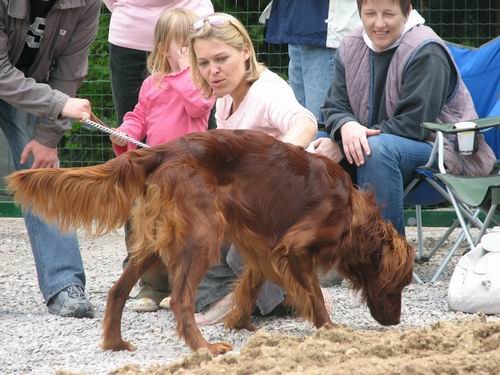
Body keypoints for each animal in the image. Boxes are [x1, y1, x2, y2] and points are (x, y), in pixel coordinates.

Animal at [6, 129, 414, 356]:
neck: (353, 213)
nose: (395, 322)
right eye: (399, 285)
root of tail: (163, 150)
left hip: (156, 241)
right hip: (202, 236)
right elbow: (313, 292)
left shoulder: (261, 248)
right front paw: (329, 328)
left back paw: (114, 343)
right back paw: (203, 348)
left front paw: (240, 323)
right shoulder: (294, 248)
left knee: (118, 290)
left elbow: (249, 287)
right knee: (180, 300)